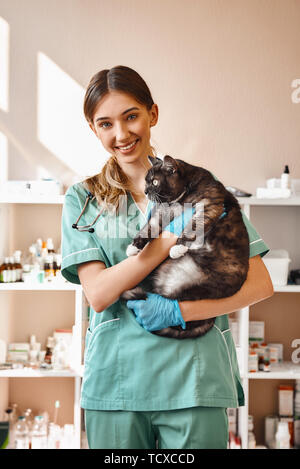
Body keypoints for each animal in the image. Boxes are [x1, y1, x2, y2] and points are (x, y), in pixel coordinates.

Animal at [120, 155, 250, 338]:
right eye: (146, 181)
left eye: (154, 182)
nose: (145, 191)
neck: (180, 200)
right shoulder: (161, 215)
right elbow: (147, 229)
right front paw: (134, 247)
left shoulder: (208, 207)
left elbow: (192, 226)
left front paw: (178, 247)